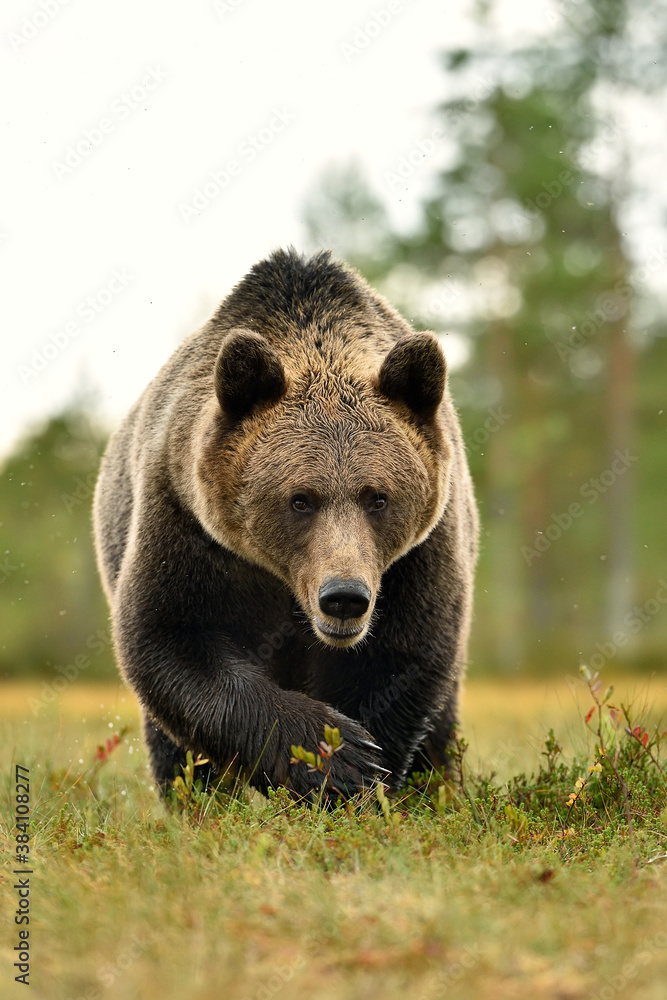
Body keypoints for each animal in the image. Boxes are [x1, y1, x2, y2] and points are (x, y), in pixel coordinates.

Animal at [93, 248, 478, 799]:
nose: (344, 596)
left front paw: (364, 773)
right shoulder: (186, 519)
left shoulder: (420, 552)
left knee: (441, 722)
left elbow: (400, 659)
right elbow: (170, 638)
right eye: (300, 500)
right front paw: (336, 758)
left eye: (377, 497)